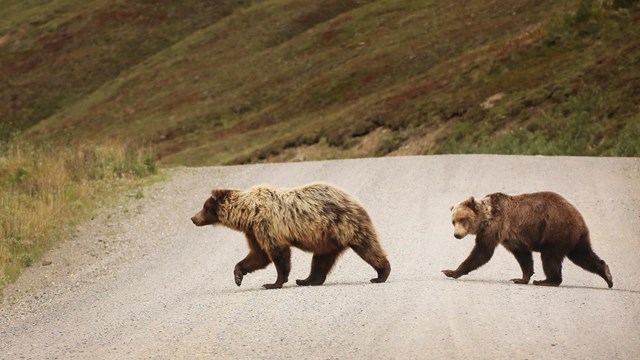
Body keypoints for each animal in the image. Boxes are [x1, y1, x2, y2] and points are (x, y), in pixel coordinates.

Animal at [190, 183, 390, 290]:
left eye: (204, 207)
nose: (193, 218)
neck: (248, 214)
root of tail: (354, 200)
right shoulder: (253, 232)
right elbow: (258, 256)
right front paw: (238, 275)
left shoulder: (267, 225)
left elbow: (278, 254)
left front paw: (273, 282)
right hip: (326, 238)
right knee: (321, 260)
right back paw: (307, 280)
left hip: (345, 225)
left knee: (367, 247)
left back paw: (381, 274)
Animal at [442, 193, 612, 288]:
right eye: (453, 221)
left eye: (462, 219)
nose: (456, 235)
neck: (486, 217)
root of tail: (579, 218)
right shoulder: (511, 237)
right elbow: (523, 256)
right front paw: (522, 278)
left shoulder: (495, 227)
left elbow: (482, 252)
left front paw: (451, 271)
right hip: (575, 237)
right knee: (583, 255)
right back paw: (607, 274)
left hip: (556, 231)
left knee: (550, 258)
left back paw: (547, 281)